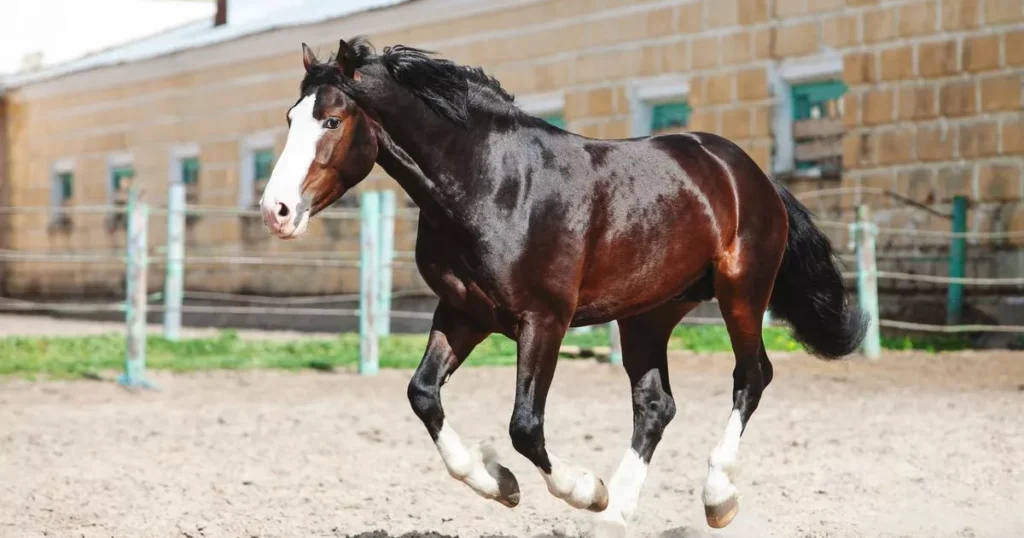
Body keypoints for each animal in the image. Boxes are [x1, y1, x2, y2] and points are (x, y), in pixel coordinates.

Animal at [260, 35, 868, 532]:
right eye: (291, 118)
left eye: (332, 122)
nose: (277, 211)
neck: (491, 185)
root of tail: (751, 174)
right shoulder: (463, 313)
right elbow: (423, 394)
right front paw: (500, 483)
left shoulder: (544, 319)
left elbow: (525, 426)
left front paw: (585, 490)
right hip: (648, 313)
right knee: (656, 404)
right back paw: (618, 515)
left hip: (741, 291)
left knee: (752, 376)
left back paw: (714, 499)